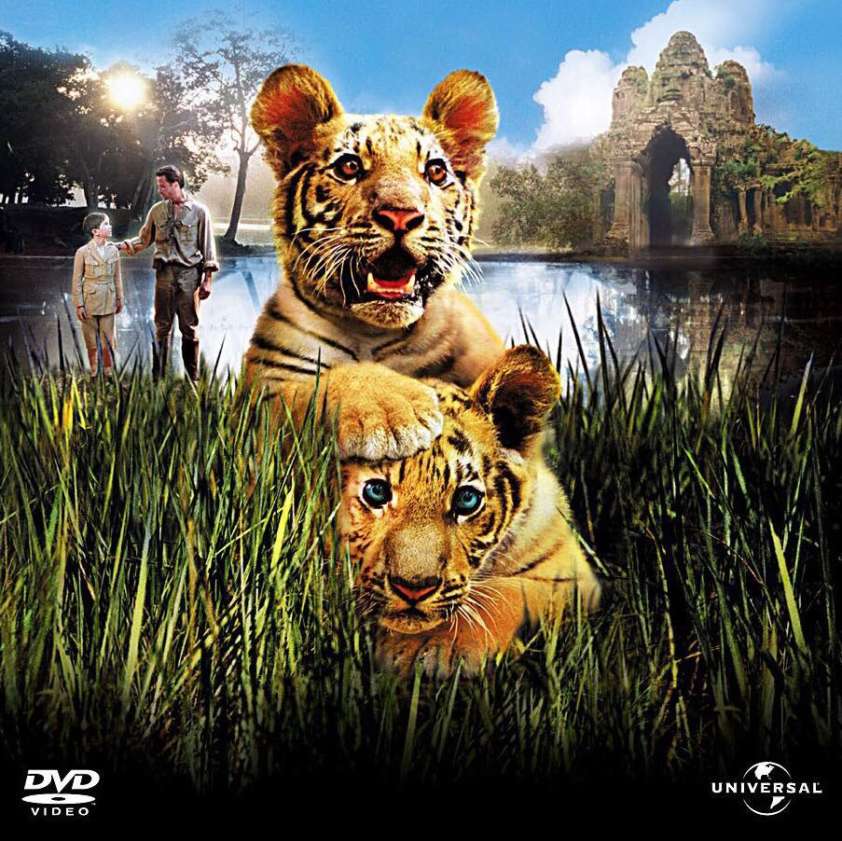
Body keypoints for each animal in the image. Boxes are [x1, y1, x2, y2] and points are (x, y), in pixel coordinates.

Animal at [245, 63, 504, 462]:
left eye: (435, 172)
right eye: (349, 166)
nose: (401, 215)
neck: (372, 332)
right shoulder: (263, 388)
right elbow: (313, 387)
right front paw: (395, 408)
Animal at [337, 345, 602, 677]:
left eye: (466, 500)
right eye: (376, 492)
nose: (413, 590)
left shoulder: (576, 579)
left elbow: (508, 591)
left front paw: (426, 647)